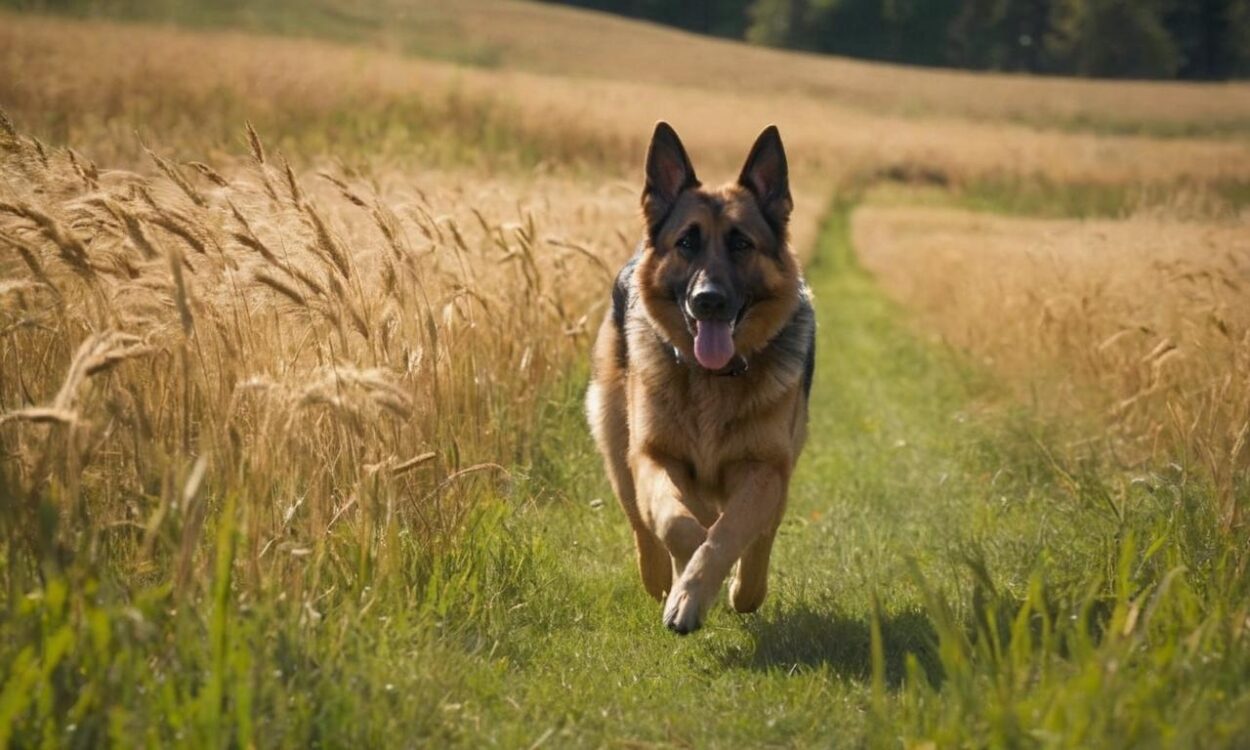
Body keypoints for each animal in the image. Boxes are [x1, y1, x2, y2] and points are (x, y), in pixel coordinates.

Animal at [587, 123, 815, 632]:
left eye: (741, 243)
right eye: (686, 243)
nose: (707, 300)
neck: (714, 380)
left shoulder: (765, 469)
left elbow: (731, 531)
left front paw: (706, 590)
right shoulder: (655, 455)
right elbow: (678, 524)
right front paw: (684, 587)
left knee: (761, 530)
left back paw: (742, 588)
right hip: (618, 450)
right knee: (641, 520)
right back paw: (661, 579)